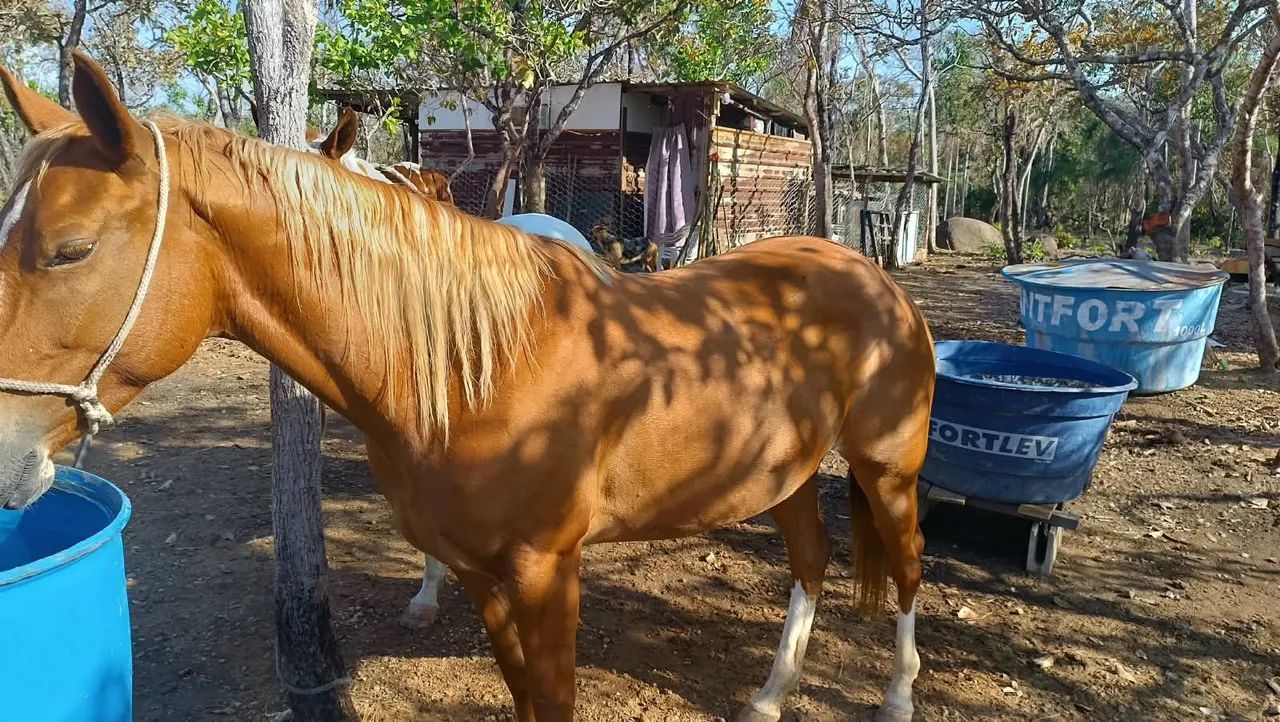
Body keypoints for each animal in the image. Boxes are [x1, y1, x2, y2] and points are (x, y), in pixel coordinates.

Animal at [0, 52, 935, 722]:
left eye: (73, 250)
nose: (7, 456)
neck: (473, 370)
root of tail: (866, 273)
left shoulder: (546, 575)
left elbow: (552, 700)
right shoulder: (485, 579)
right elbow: (521, 696)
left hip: (889, 471)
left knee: (908, 572)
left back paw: (897, 697)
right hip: (784, 476)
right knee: (810, 564)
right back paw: (772, 696)